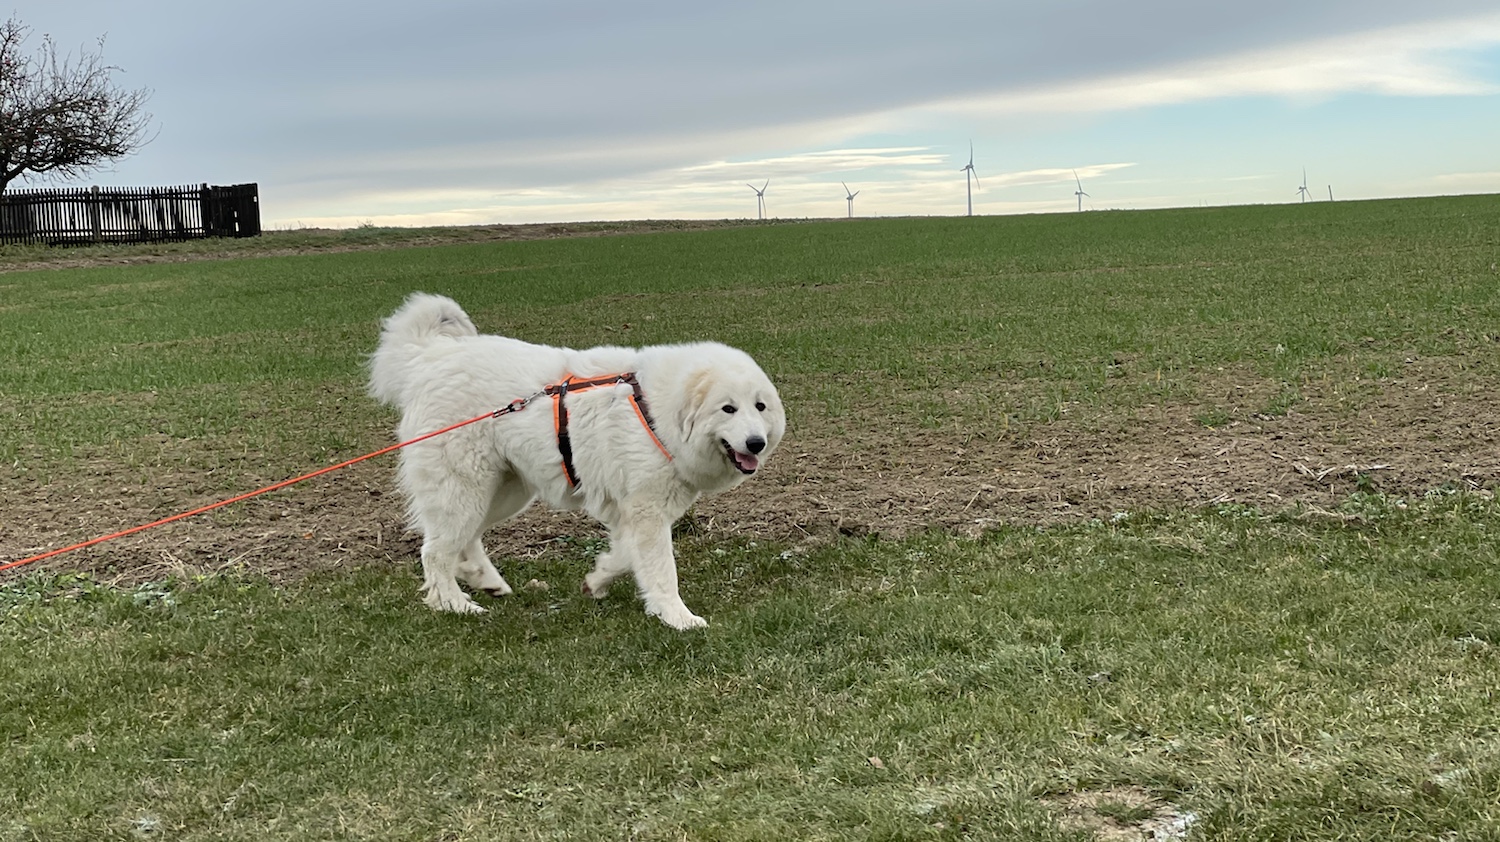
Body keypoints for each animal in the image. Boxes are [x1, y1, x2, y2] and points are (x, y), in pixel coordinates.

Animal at [368, 293, 786, 629]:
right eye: (728, 408)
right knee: (435, 552)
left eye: (760, 407)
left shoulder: (634, 512)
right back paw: (455, 604)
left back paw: (485, 580)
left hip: (501, 492)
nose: (756, 443)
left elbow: (625, 556)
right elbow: (661, 570)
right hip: (464, 489)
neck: (656, 412)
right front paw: (678, 617)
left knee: (463, 540)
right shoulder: (646, 511)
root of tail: (430, 358)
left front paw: (597, 580)